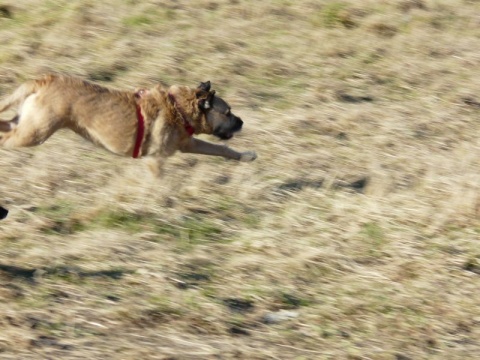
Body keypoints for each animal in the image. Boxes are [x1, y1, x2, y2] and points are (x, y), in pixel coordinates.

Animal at [0, 74, 255, 174]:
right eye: (228, 112)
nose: (242, 122)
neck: (180, 108)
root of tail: (44, 79)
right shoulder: (156, 159)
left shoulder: (189, 144)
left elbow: (222, 149)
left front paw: (246, 156)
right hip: (34, 133)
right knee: (5, 138)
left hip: (27, 125)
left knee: (5, 125)